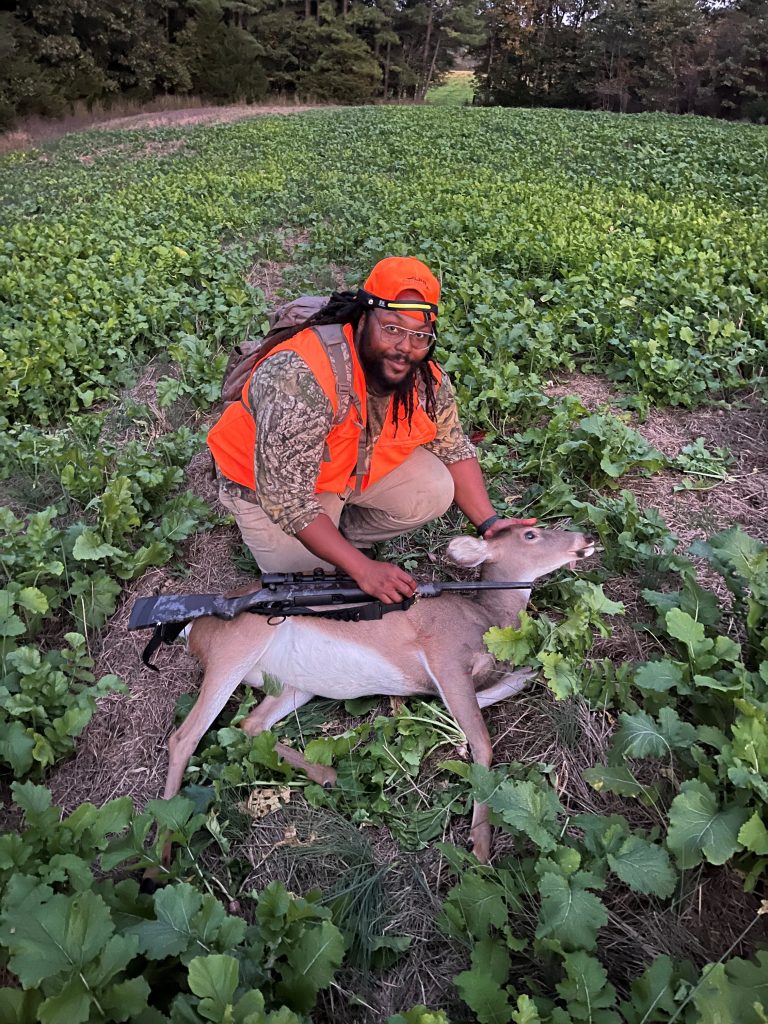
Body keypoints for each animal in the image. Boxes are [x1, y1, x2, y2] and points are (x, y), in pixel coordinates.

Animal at [160, 524, 593, 860]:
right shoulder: (444, 657)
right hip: (236, 647)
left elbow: (523, 677)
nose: (584, 537)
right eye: (531, 534)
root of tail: (191, 629)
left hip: (295, 686)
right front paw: (480, 844)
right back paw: (162, 854)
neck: (487, 620)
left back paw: (328, 774)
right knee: (185, 736)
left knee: (250, 726)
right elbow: (483, 742)